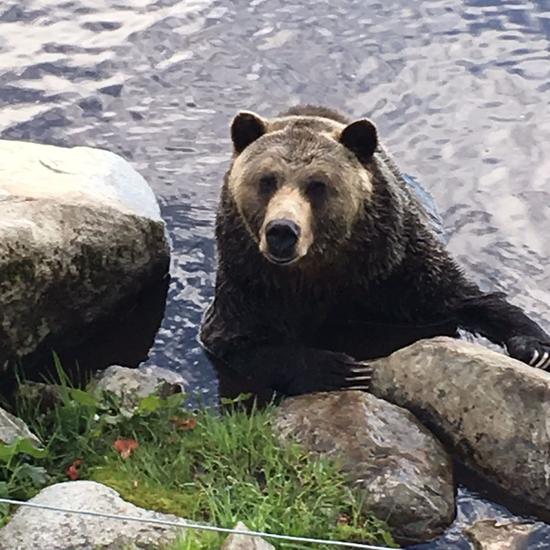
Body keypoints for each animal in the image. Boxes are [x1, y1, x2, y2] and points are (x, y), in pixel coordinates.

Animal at [201, 104, 550, 396]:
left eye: (318, 185)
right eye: (267, 180)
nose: (282, 231)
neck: (321, 268)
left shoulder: (395, 269)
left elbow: (467, 298)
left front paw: (535, 347)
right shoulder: (252, 280)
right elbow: (237, 343)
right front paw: (340, 368)